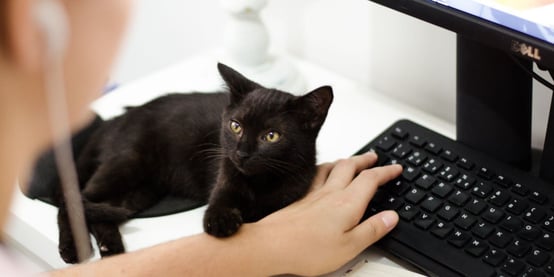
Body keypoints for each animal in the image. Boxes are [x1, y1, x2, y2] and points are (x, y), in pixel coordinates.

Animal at [56, 63, 332, 264]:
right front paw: (221, 221)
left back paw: (110, 246)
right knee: (72, 200)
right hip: (128, 162)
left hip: (139, 193)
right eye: (236, 126)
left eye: (271, 136)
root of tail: (115, 119)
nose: (242, 153)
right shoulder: (225, 177)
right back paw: (72, 248)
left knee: (99, 209)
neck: (260, 183)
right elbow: (219, 206)